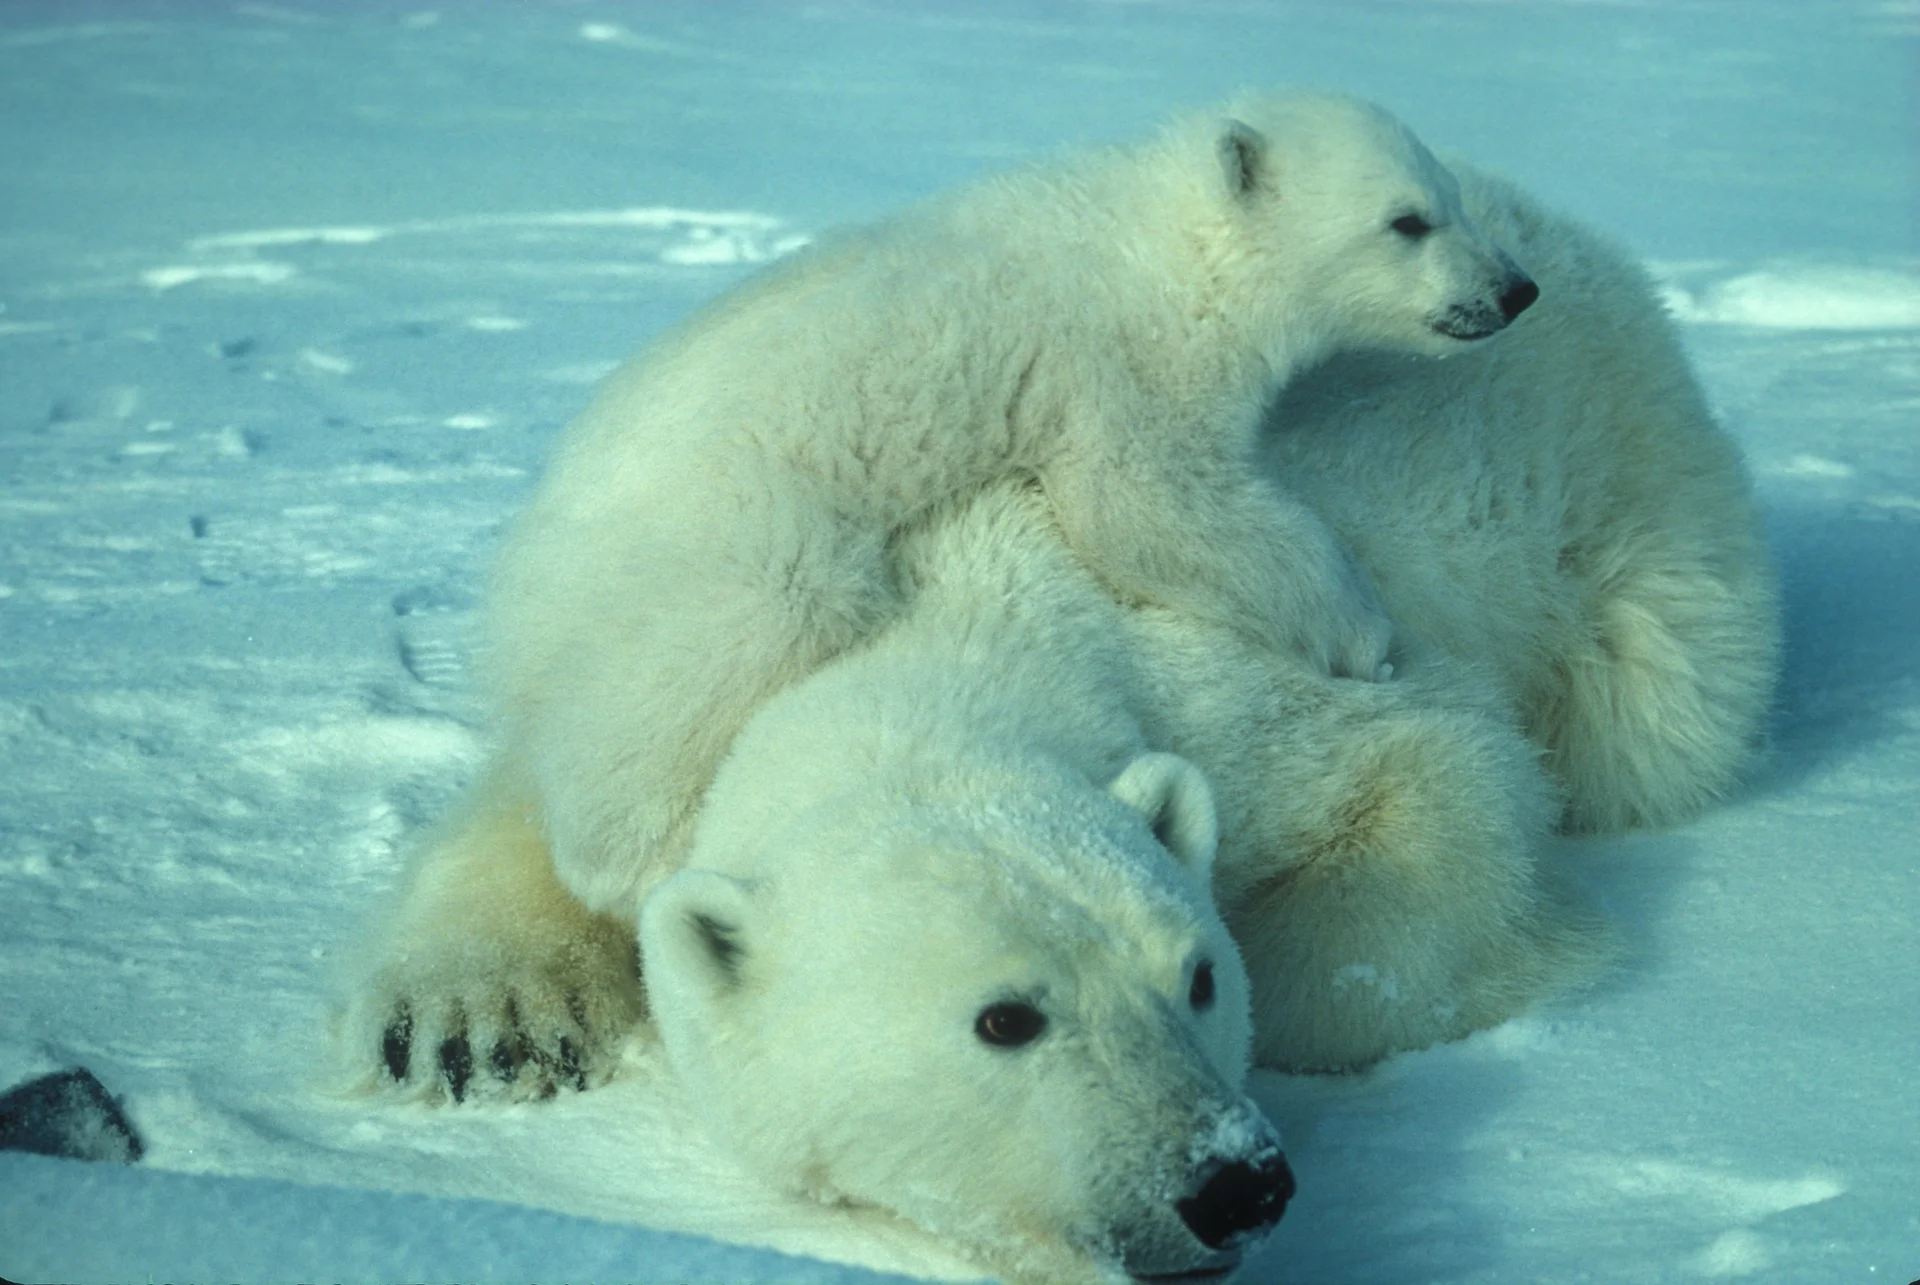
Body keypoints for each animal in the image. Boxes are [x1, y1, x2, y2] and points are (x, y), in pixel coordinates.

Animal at [482, 91, 1539, 916]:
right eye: (1407, 220)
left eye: (1451, 198)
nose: (1515, 289)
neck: (1165, 243)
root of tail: (523, 570)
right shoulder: (1123, 361)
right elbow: (1150, 505)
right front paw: (1365, 635)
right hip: (723, 528)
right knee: (727, 640)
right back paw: (635, 858)